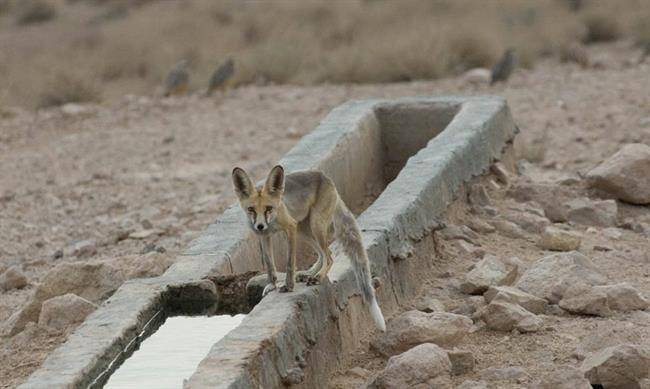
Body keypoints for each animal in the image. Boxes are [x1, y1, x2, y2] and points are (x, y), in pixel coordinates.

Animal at [232, 164, 384, 330]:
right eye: (251, 209)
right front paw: (272, 284)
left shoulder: (290, 228)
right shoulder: (265, 236)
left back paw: (318, 276)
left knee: (329, 257)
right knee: (324, 253)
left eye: (268, 208)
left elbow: (290, 263)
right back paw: (310, 273)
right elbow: (269, 264)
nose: (260, 225)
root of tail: (324, 176)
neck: (273, 221)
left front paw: (289, 286)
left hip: (314, 225)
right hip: (304, 231)